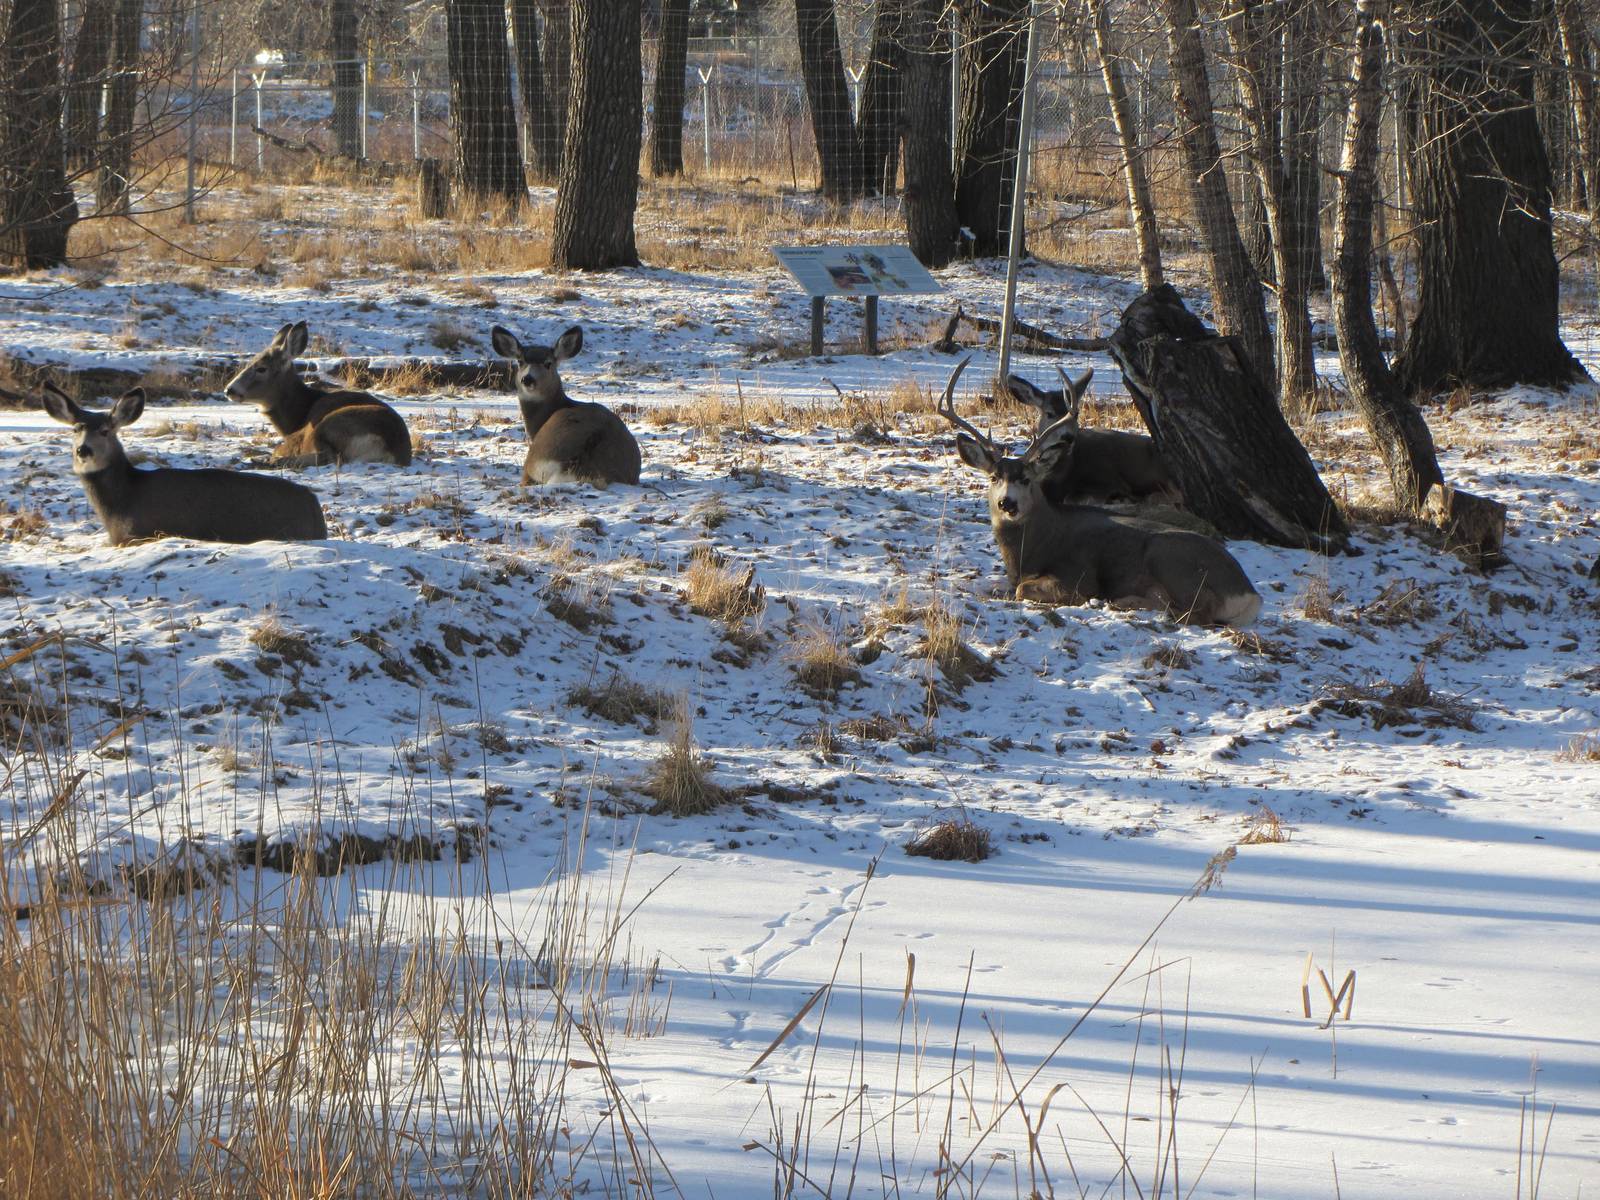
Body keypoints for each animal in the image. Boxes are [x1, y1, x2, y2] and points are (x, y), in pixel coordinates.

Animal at [41, 385, 327, 545]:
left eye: (105, 431)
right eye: (75, 429)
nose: (83, 450)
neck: (123, 500)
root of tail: (315, 507)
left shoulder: (141, 533)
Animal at [224, 321, 413, 467]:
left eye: (261, 368)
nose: (229, 390)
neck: (299, 413)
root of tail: (389, 447)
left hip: (327, 424)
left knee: (329, 458)